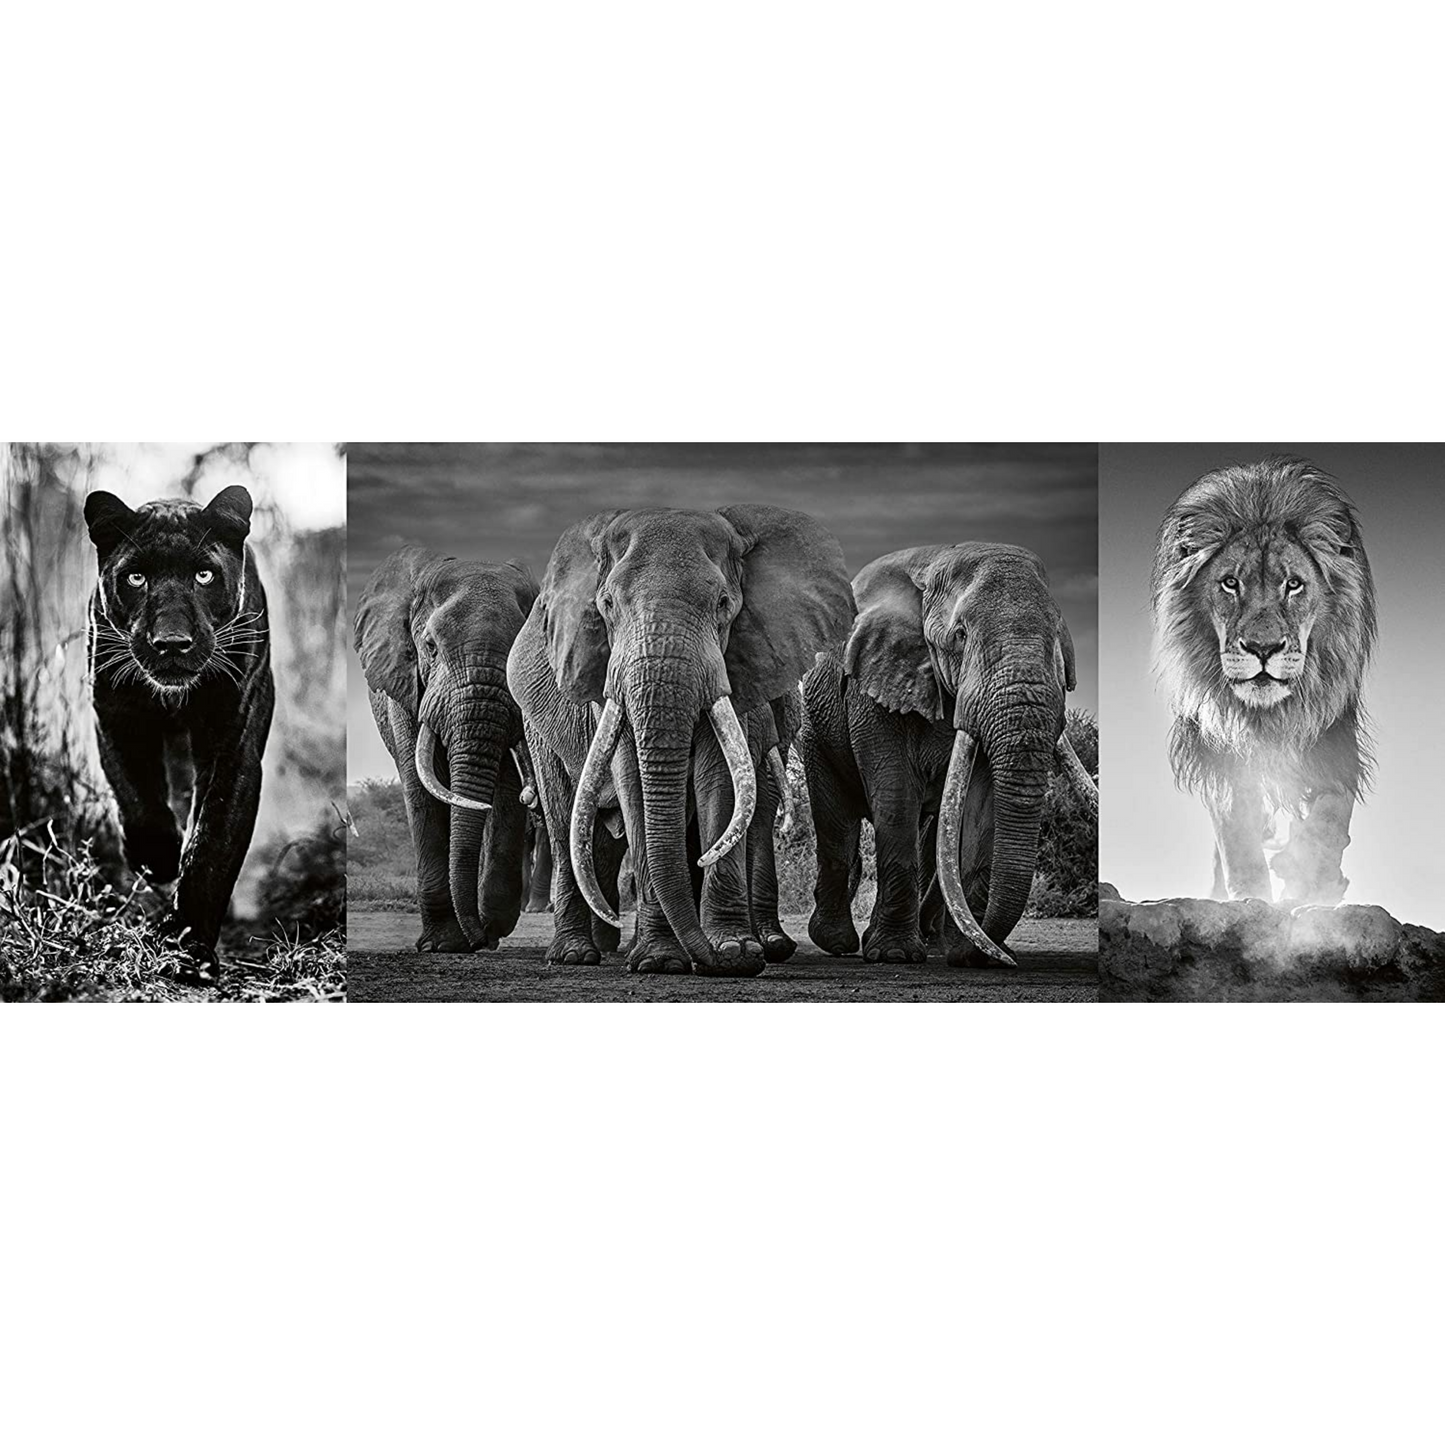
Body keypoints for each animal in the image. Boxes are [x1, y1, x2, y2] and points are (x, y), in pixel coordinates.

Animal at [354, 546, 539, 952]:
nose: (479, 940)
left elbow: (506, 790)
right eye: (430, 647)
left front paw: (489, 928)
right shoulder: (406, 685)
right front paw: (442, 944)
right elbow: (420, 786)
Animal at [506, 504, 855, 976]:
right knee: (565, 823)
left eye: (723, 604)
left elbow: (719, 779)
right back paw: (574, 955)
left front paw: (735, 952)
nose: (717, 959)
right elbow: (633, 778)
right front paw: (661, 961)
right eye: (607, 605)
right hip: (538, 729)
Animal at [799, 542, 1098, 967]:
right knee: (837, 822)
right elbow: (894, 794)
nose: (995, 955)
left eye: (1060, 639)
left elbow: (980, 806)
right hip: (815, 730)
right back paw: (837, 942)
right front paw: (894, 954)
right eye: (960, 635)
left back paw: (932, 945)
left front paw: (969, 955)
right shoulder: (875, 680)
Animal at [1151, 455, 1376, 905]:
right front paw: (1252, 896)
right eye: (1230, 583)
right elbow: (1236, 828)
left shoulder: (1333, 731)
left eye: (1294, 584)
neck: (1268, 714)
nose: (1263, 647)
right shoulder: (1218, 743)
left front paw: (1313, 881)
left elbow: (1332, 810)